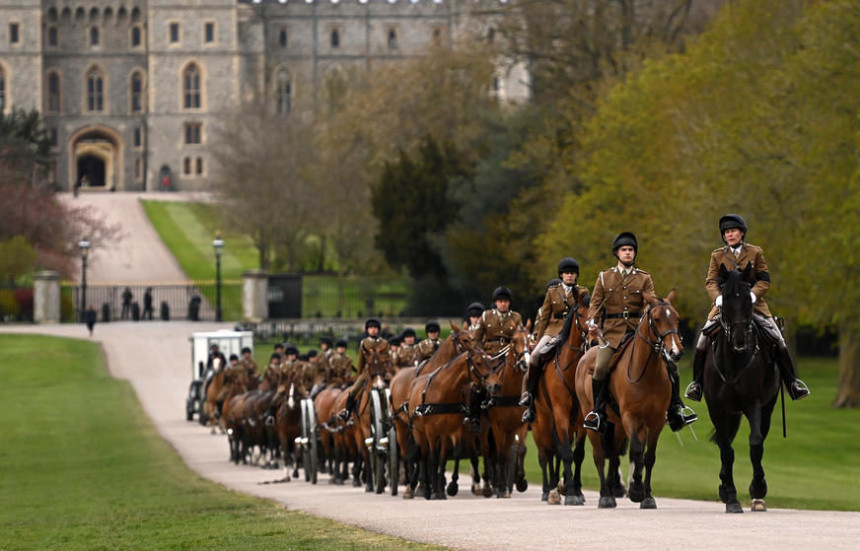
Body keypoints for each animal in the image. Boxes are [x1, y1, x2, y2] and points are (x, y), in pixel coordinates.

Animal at [408, 344, 494, 500]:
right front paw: (434, 491)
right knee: (423, 455)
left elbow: (448, 456)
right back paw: (425, 488)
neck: (444, 392)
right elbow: (433, 458)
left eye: (490, 362)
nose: (494, 384)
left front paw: (446, 488)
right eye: (478, 363)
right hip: (419, 432)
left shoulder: (452, 431)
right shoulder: (431, 431)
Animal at [484, 326, 532, 498]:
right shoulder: (498, 426)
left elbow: (519, 450)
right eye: (514, 340)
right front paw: (501, 488)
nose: (525, 363)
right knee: (489, 453)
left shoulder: (517, 425)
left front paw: (519, 480)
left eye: (530, 339)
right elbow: (500, 455)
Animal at [532, 298, 592, 504]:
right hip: (543, 421)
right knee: (547, 453)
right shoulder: (560, 415)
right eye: (580, 314)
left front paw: (577, 490)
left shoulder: (581, 419)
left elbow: (578, 454)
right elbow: (565, 452)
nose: (592, 337)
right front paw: (571, 492)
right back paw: (548, 489)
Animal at [576, 292, 680, 512]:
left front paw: (646, 496)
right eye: (657, 319)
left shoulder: (655, 421)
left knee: (614, 453)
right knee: (600, 455)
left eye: (676, 318)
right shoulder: (630, 417)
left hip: (616, 425)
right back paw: (605, 496)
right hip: (594, 422)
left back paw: (613, 491)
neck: (648, 374)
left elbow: (648, 457)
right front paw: (636, 491)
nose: (676, 352)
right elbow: (637, 450)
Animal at [704, 266, 780, 516]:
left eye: (749, 301)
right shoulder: (716, 408)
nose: (739, 341)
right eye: (725, 300)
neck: (734, 362)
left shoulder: (753, 404)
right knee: (724, 443)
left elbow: (755, 443)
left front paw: (758, 490)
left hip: (767, 408)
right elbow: (726, 450)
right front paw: (730, 496)